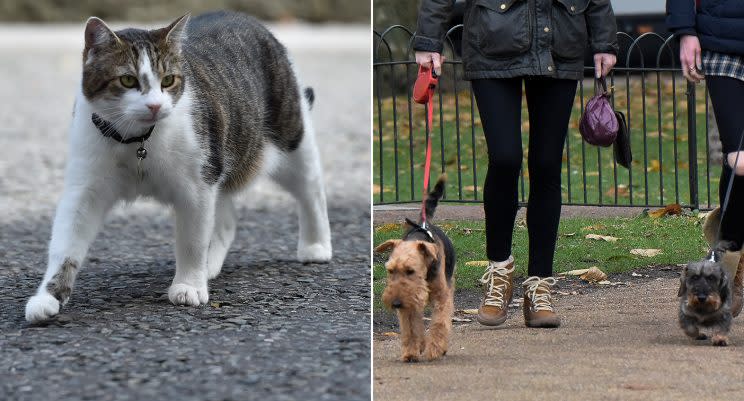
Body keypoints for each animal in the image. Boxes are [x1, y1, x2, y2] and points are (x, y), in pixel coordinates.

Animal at [24, 10, 332, 322]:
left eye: (168, 80)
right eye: (127, 80)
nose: (155, 106)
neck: (137, 140)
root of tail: (246, 17)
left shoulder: (196, 187)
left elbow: (192, 241)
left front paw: (189, 286)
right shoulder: (85, 190)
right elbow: (65, 247)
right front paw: (47, 296)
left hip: (289, 137)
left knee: (311, 191)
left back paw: (316, 246)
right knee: (226, 219)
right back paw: (212, 263)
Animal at [374, 177, 456, 360]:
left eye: (410, 270)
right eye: (390, 270)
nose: (395, 303)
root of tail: (424, 224)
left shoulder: (441, 296)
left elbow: (439, 322)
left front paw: (435, 349)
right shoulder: (409, 304)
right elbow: (411, 328)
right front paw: (411, 352)